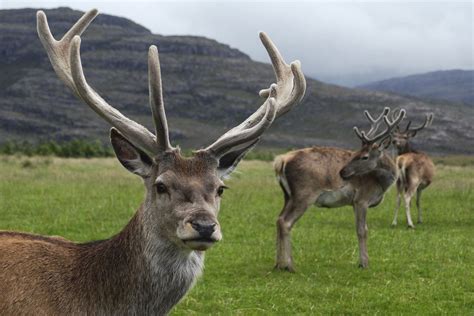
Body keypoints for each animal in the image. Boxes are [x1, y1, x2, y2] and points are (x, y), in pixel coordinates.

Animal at [274, 107, 404, 270]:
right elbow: (362, 230)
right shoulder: (362, 199)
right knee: (286, 222)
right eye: (356, 153)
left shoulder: (354, 203)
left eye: (364, 156)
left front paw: (363, 261)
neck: (381, 183)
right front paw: (364, 263)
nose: (342, 172)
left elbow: (361, 228)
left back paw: (278, 264)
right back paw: (289, 265)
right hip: (304, 194)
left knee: (278, 219)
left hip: (288, 195)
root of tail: (281, 161)